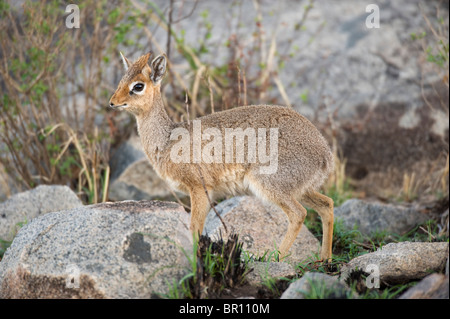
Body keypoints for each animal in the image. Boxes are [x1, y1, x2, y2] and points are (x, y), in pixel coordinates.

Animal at [109, 52, 334, 262]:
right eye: (121, 80)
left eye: (138, 86)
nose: (112, 103)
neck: (167, 140)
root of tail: (324, 153)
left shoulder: (199, 189)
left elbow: (194, 228)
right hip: (300, 189)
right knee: (327, 205)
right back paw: (325, 258)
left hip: (272, 185)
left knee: (299, 214)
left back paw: (275, 259)